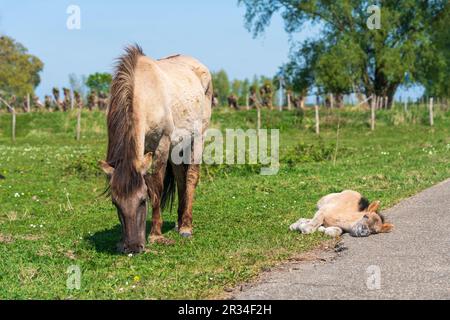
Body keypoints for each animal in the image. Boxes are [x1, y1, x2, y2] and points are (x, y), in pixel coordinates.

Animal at [101, 45, 214, 255]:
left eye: (142, 200)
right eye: (115, 202)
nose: (133, 247)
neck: (145, 93)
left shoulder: (162, 143)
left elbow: (157, 186)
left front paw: (155, 234)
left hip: (198, 137)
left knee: (191, 177)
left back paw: (186, 226)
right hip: (178, 146)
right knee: (180, 178)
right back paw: (179, 222)